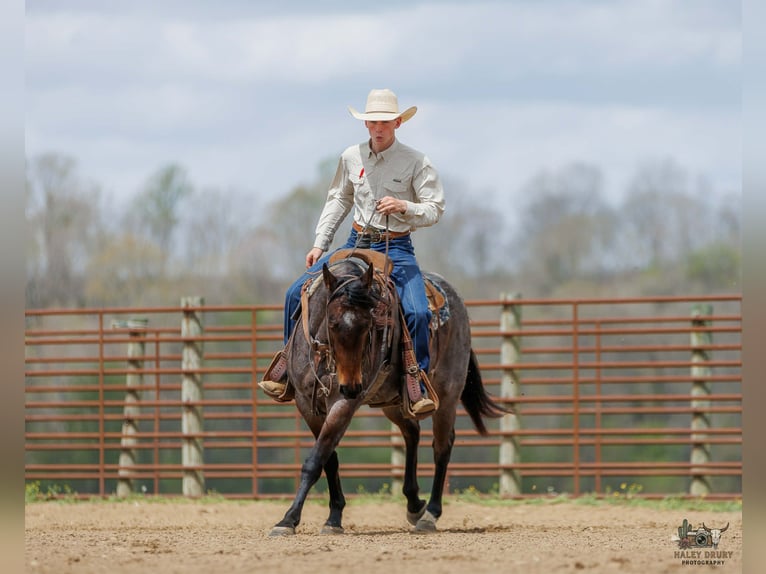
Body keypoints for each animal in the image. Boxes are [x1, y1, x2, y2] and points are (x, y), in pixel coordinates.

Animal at [268, 251, 508, 536]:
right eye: (334, 323)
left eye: (369, 324)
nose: (351, 386)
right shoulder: (306, 404)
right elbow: (328, 458)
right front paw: (333, 517)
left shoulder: (343, 404)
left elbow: (316, 459)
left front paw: (288, 519)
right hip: (391, 403)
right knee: (412, 432)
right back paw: (414, 504)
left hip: (448, 394)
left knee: (442, 446)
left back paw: (430, 515)